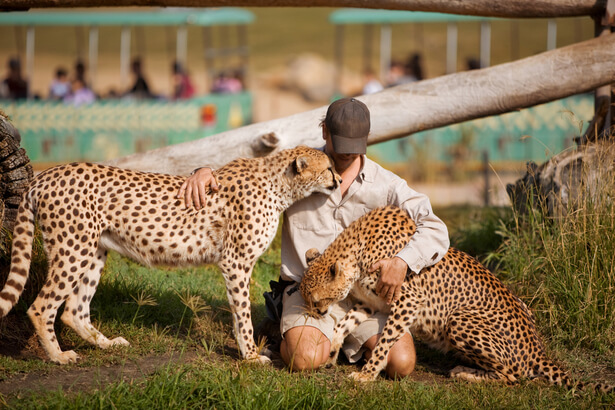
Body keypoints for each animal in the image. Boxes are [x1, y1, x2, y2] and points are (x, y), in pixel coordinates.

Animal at [0, 146, 342, 364]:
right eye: (328, 168)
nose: (339, 179)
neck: (277, 183)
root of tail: (46, 174)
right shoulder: (236, 263)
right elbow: (242, 314)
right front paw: (250, 356)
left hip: (93, 251)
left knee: (74, 310)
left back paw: (107, 344)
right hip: (73, 248)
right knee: (41, 307)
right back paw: (58, 356)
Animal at [302, 205, 615, 390]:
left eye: (316, 301)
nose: (314, 313)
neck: (357, 250)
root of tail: (537, 347)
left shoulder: (408, 301)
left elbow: (384, 342)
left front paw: (367, 374)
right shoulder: (371, 302)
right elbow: (343, 324)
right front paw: (332, 352)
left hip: (459, 319)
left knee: (514, 375)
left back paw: (465, 373)